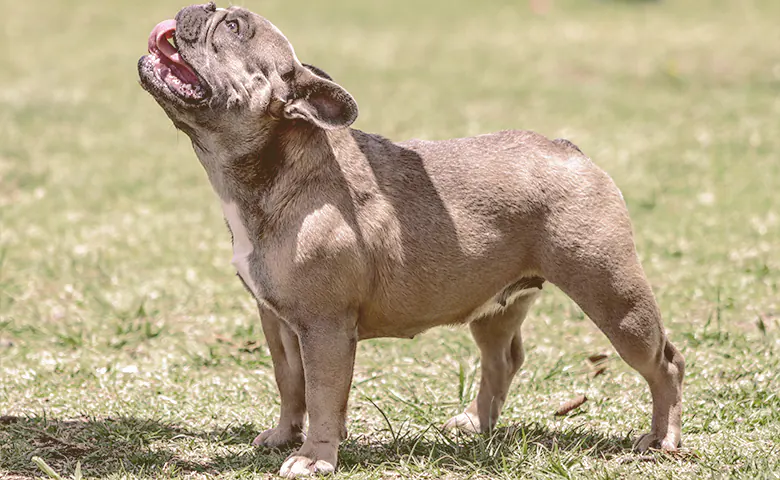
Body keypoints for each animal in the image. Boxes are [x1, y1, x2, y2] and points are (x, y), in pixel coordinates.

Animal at [139, 2, 684, 476]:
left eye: (233, 27)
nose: (200, 6)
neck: (277, 167)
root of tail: (570, 150)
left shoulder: (324, 327)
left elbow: (321, 394)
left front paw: (314, 457)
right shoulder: (277, 320)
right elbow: (289, 382)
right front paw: (282, 435)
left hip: (613, 296)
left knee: (665, 364)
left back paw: (663, 438)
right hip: (497, 304)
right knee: (502, 360)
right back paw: (474, 423)